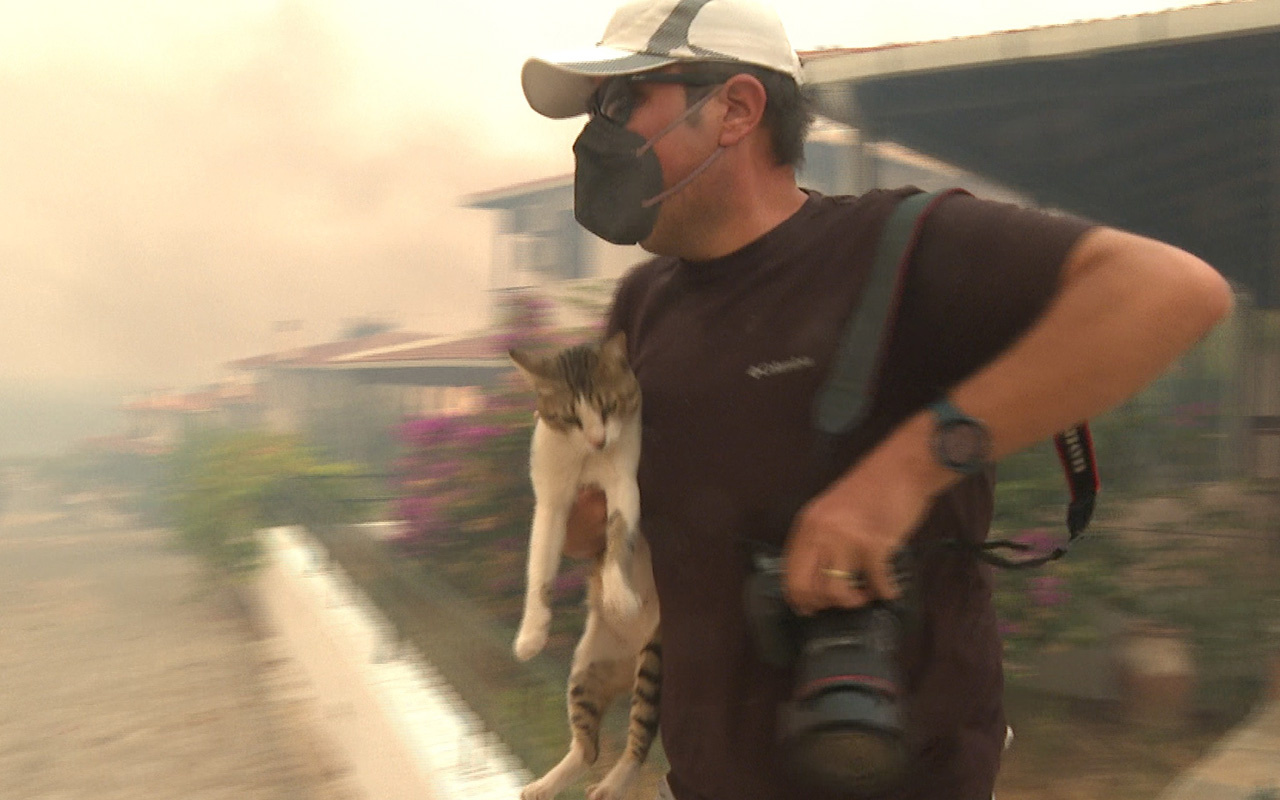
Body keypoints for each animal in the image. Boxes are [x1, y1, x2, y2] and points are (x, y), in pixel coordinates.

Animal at [506, 327, 660, 793]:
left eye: (608, 407)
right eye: (571, 418)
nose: (597, 439)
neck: (588, 459)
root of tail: (628, 659)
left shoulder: (624, 483)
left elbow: (617, 539)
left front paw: (619, 595)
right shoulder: (553, 503)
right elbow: (539, 568)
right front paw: (531, 634)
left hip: (655, 661)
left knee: (638, 742)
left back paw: (610, 788)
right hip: (584, 671)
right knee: (588, 748)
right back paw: (543, 787)